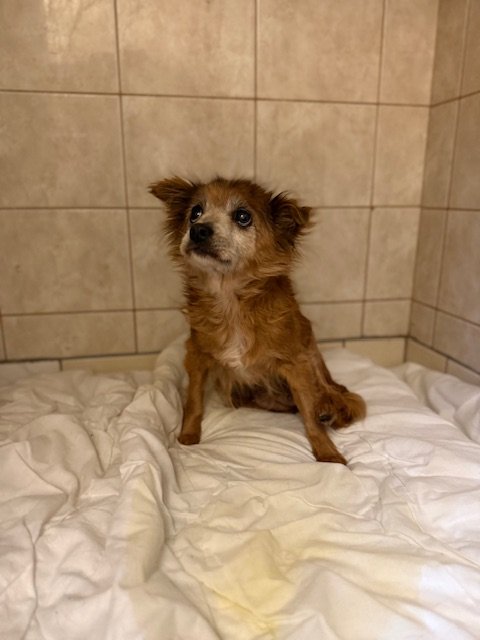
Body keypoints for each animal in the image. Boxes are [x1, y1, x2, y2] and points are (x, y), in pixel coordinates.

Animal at [149, 176, 366, 464]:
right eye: (195, 212)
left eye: (243, 217)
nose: (198, 230)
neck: (231, 299)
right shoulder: (197, 355)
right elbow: (194, 399)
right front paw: (188, 435)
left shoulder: (295, 362)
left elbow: (309, 412)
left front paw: (327, 452)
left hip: (312, 353)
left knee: (330, 394)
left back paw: (328, 408)